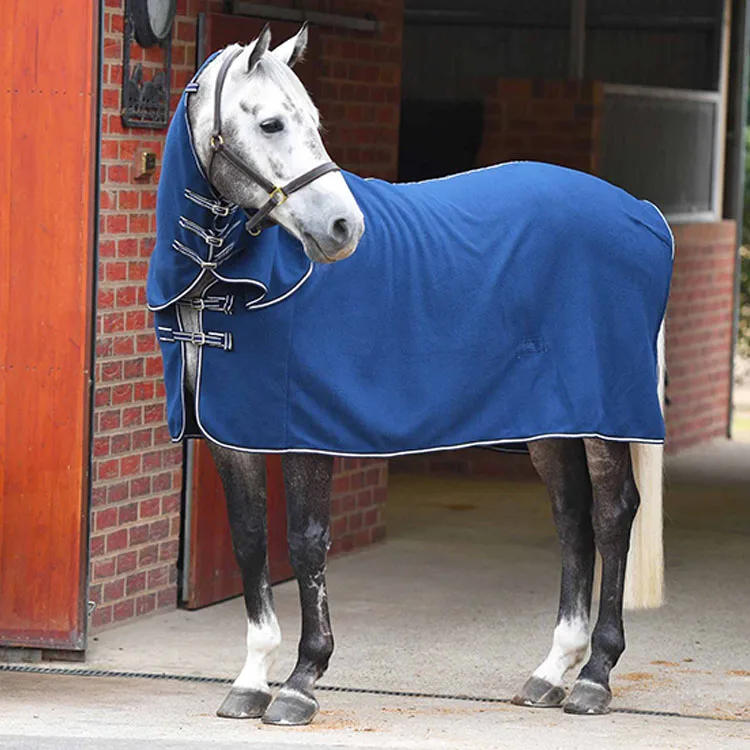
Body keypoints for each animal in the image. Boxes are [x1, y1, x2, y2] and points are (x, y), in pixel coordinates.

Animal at [147, 27, 668, 728]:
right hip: (552, 424)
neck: (231, 282)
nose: (345, 229)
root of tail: (640, 211)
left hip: (603, 417)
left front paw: (301, 681)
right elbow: (252, 541)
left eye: (314, 123)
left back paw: (595, 676)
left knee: (613, 516)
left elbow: (306, 543)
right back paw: (552, 671)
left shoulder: (303, 430)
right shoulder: (233, 435)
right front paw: (252, 679)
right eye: (272, 123)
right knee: (572, 519)